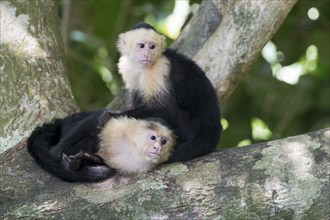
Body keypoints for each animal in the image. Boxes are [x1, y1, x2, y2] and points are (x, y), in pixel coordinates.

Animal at [27, 111, 175, 183]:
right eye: (153, 138)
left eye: (164, 141)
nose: (157, 148)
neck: (132, 149)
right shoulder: (121, 126)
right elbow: (99, 119)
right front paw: (57, 153)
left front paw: (83, 160)